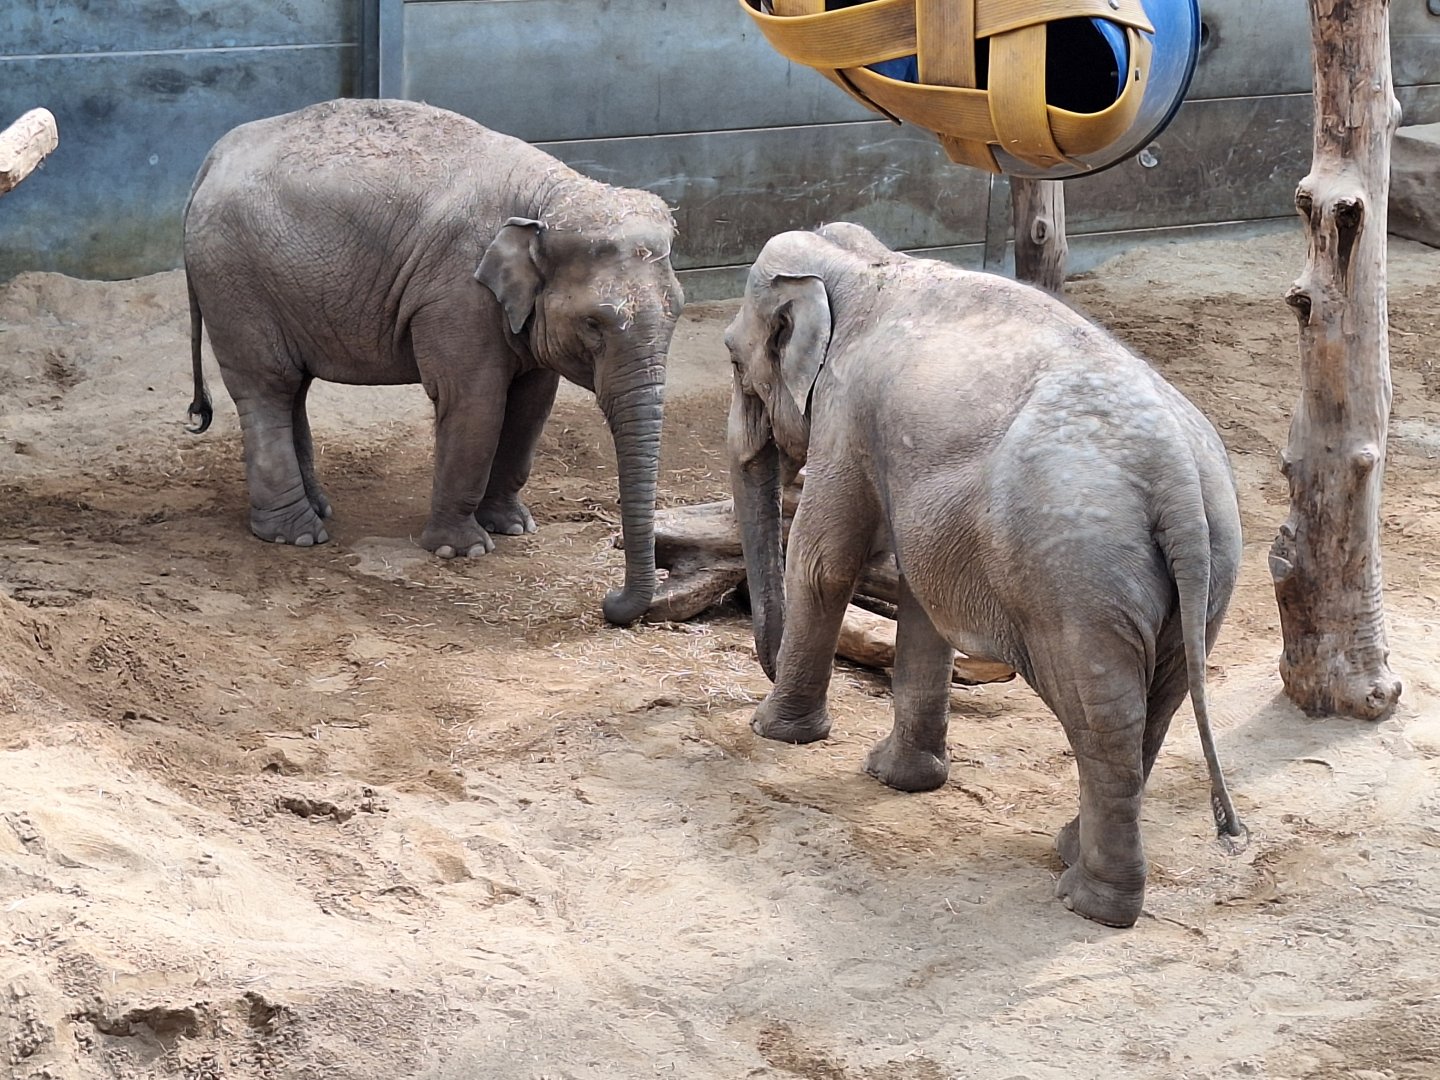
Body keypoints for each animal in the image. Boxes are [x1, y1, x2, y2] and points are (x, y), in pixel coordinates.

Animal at [182, 99, 684, 625]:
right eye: (594, 323)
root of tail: (214, 157)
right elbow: (474, 403)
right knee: (268, 387)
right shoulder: (456, 295)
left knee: (292, 388)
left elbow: (532, 405)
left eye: (679, 310)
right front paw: (462, 550)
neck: (548, 195)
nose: (610, 601)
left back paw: (319, 510)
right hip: (235, 281)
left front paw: (513, 527)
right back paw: (297, 534)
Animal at [725, 222, 1245, 927]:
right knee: (1158, 703)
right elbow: (920, 596)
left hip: (1079, 577)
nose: (765, 670)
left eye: (733, 360)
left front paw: (775, 733)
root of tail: (1178, 476)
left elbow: (822, 563)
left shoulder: (848, 413)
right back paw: (1071, 853)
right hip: (1210, 570)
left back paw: (1089, 901)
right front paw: (898, 778)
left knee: (1104, 717)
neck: (866, 265)